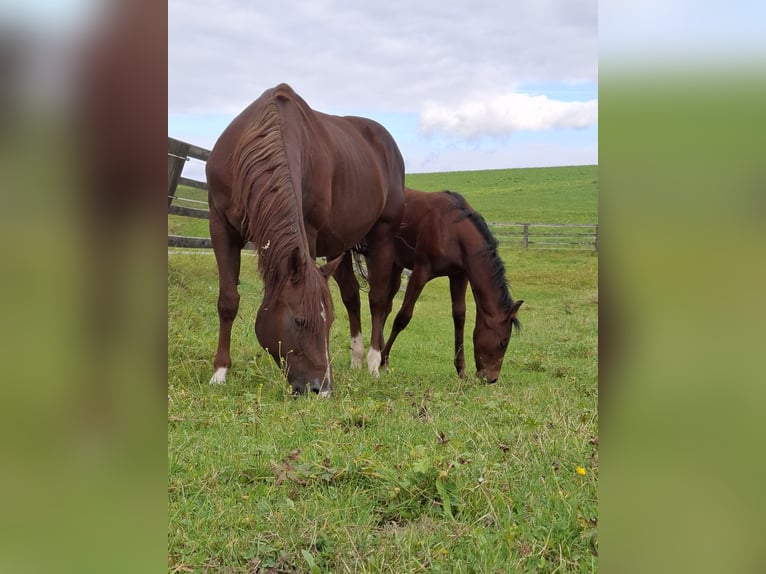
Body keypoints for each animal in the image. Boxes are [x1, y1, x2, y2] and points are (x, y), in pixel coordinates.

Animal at [205, 83, 404, 395]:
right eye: (299, 321)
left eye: (329, 323)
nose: (321, 388)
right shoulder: (220, 224)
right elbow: (228, 300)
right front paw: (220, 371)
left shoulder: (308, 232)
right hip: (339, 245)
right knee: (352, 297)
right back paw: (357, 359)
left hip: (383, 237)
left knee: (378, 299)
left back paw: (373, 362)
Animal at [333, 188, 523, 383]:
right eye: (502, 342)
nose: (491, 378)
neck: (453, 229)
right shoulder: (421, 272)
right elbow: (403, 317)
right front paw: (382, 358)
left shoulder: (458, 275)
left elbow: (459, 316)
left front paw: (461, 370)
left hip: (395, 266)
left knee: (384, 306)